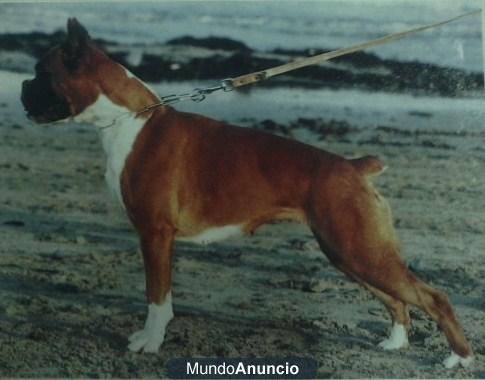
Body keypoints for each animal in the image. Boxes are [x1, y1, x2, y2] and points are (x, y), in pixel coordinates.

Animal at [20, 19, 470, 366]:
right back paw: (395, 341)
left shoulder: (155, 235)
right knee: (398, 299)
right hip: (351, 252)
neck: (129, 120)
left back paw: (458, 358)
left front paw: (149, 342)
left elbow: (156, 297)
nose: (23, 84)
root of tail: (354, 166)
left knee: (434, 296)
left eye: (43, 72)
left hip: (358, 249)